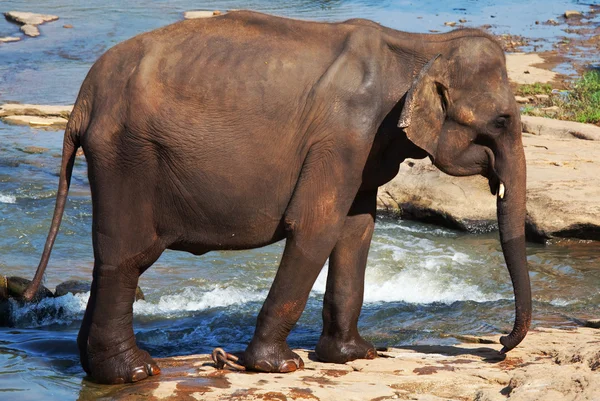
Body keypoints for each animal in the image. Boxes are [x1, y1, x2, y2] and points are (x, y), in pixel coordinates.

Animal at [22, 10, 528, 382]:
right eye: (503, 120)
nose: (500, 345)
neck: (419, 47)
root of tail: (83, 98)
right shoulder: (342, 136)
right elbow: (316, 229)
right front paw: (280, 365)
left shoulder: (363, 145)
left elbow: (357, 231)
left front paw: (355, 355)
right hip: (127, 156)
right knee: (126, 258)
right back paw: (135, 373)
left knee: (109, 259)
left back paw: (98, 367)